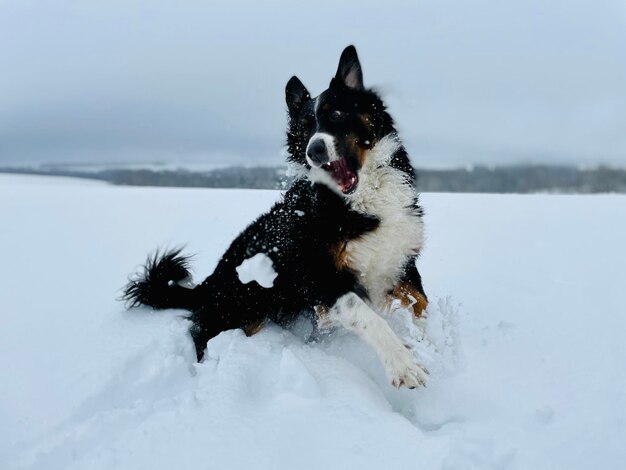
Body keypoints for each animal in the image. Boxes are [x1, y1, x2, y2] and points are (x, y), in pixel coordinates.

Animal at [120, 46, 428, 388]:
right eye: (305, 127)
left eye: (335, 115)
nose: (314, 150)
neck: (357, 201)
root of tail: (209, 282)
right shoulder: (321, 277)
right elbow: (367, 317)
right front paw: (402, 364)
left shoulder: (401, 262)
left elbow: (421, 305)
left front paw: (429, 343)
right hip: (247, 304)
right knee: (202, 334)